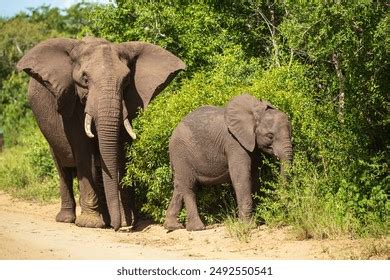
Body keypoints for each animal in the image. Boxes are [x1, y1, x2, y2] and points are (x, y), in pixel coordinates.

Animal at [16, 37, 184, 230]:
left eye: (126, 81)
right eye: (85, 79)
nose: (119, 227)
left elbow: (120, 152)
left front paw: (124, 222)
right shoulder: (72, 103)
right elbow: (83, 152)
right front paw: (91, 223)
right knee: (62, 167)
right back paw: (67, 219)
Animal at [162, 93, 292, 231]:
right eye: (270, 136)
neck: (254, 113)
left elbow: (255, 177)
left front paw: (258, 219)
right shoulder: (233, 143)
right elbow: (242, 178)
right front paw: (249, 226)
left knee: (178, 186)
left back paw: (173, 226)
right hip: (181, 153)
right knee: (189, 187)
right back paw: (197, 228)